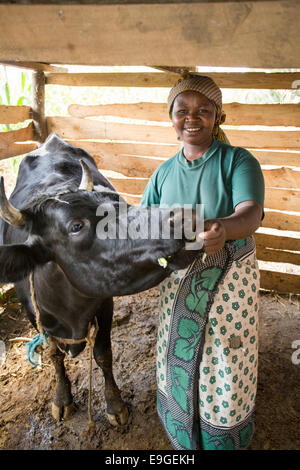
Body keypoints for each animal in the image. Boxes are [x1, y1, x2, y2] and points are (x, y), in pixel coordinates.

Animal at [0, 133, 197, 426]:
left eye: (115, 203)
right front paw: (62, 399)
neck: (69, 312)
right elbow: (54, 355)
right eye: (76, 226)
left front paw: (115, 404)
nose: (183, 219)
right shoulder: (33, 316)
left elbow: (103, 353)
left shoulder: (104, 304)